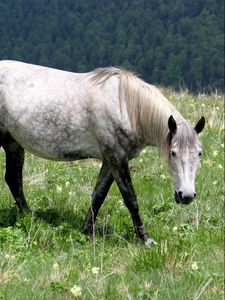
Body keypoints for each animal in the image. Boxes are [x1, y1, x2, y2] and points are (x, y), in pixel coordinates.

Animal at [0, 61, 205, 246]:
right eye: (173, 153)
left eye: (199, 154)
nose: (186, 196)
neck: (126, 107)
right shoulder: (117, 158)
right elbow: (130, 198)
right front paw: (145, 239)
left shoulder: (110, 160)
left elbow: (98, 195)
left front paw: (87, 231)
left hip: (13, 144)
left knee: (13, 179)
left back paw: (29, 217)